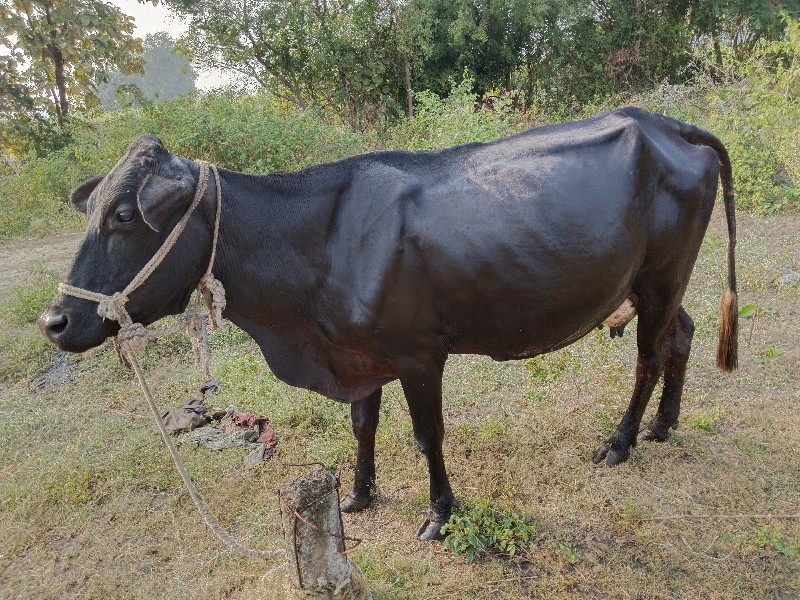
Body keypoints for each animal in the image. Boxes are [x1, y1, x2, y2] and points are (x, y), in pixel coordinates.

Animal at [37, 106, 736, 540]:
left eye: (123, 216)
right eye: (92, 210)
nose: (55, 321)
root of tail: (663, 123)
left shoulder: (419, 352)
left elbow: (427, 436)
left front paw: (439, 514)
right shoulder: (357, 353)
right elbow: (362, 424)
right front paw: (359, 495)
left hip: (661, 276)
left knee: (648, 357)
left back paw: (621, 441)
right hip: (655, 284)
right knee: (681, 335)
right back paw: (663, 425)